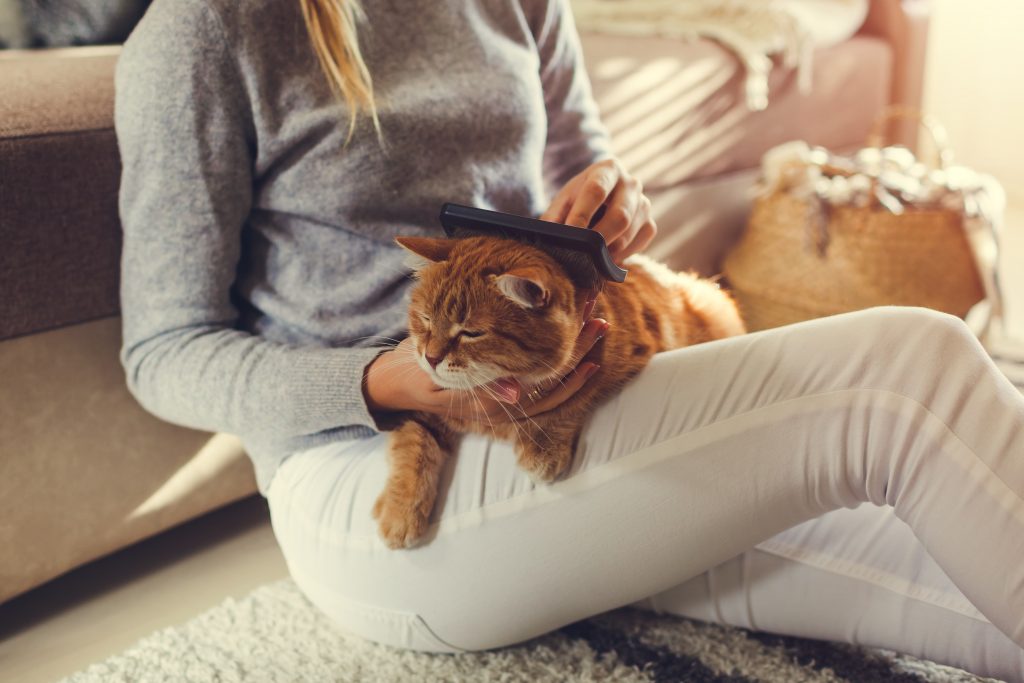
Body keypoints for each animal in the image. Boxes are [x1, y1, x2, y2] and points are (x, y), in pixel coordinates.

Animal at [372, 236, 741, 548]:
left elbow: (569, 401)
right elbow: (412, 447)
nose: (431, 357)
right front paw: (399, 512)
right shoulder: (417, 409)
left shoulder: (615, 359)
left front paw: (542, 446)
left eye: (472, 333)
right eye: (425, 320)